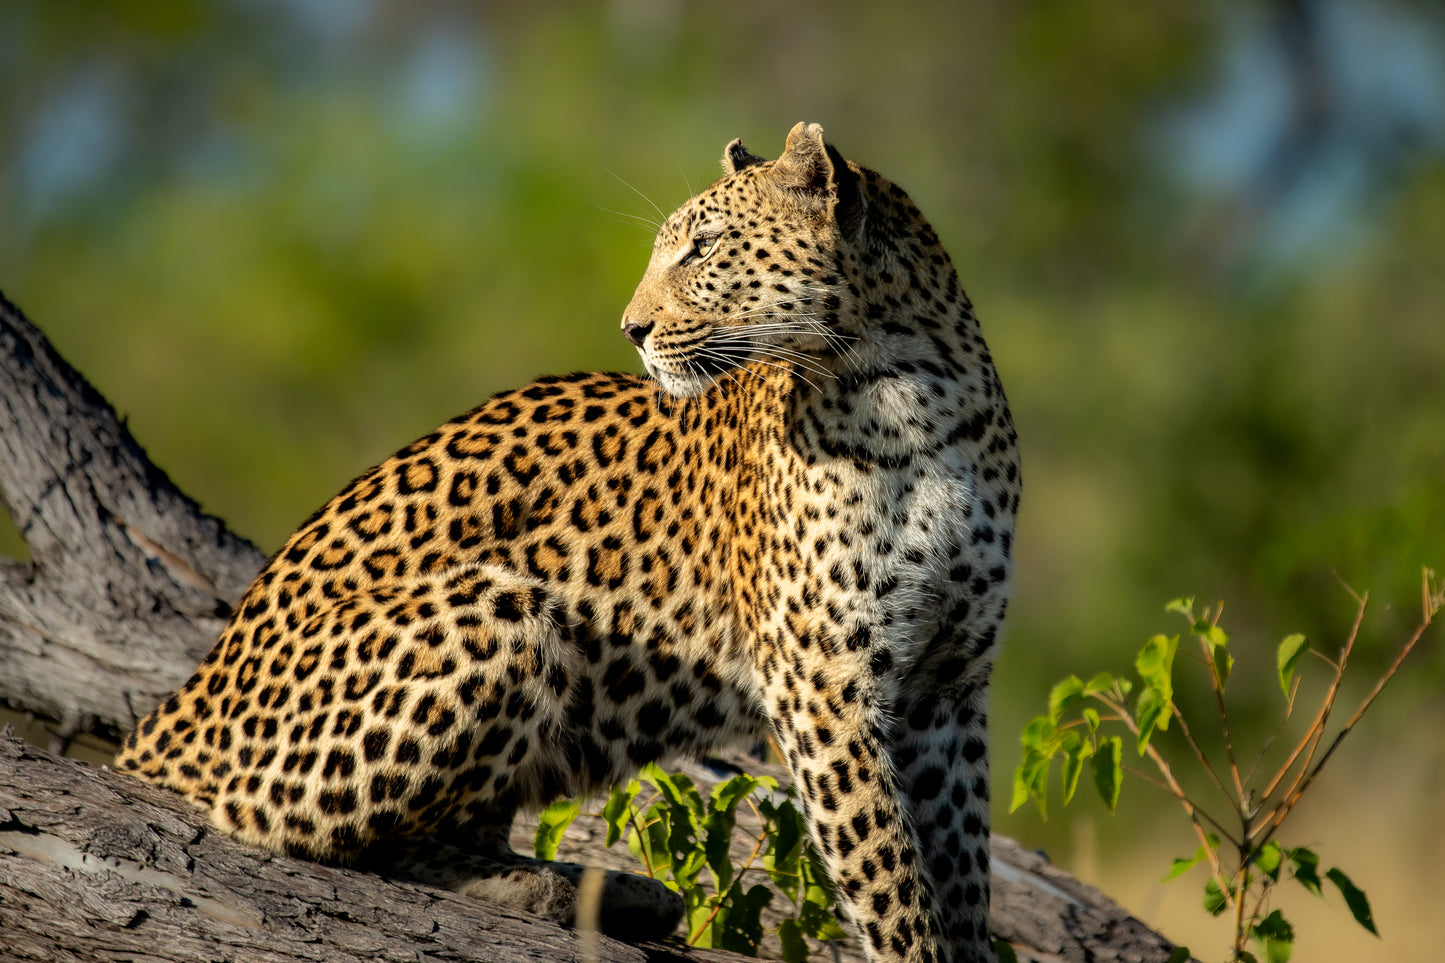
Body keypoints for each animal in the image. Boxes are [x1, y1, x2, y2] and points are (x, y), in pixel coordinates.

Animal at [115, 125, 1017, 960]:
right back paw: (564, 891)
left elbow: (958, 870)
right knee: (331, 839)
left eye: (704, 246)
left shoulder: (948, 682)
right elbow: (888, 875)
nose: (631, 328)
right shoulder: (822, 680)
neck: (909, 399)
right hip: (495, 609)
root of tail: (176, 712)